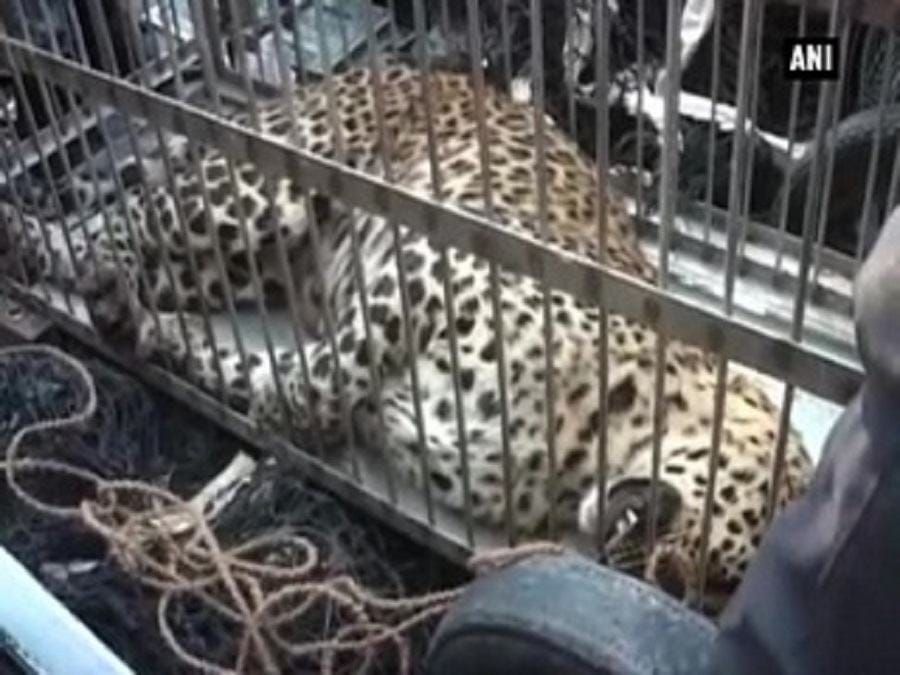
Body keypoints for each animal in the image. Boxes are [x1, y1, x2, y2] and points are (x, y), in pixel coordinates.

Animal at [0, 56, 813, 615]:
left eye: (709, 592)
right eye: (715, 552)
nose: (644, 573)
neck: (592, 444)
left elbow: (249, 367)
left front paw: (158, 338)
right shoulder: (425, 267)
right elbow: (340, 363)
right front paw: (294, 412)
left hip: (229, 264)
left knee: (131, 254)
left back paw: (103, 291)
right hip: (253, 191)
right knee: (118, 219)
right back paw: (36, 243)